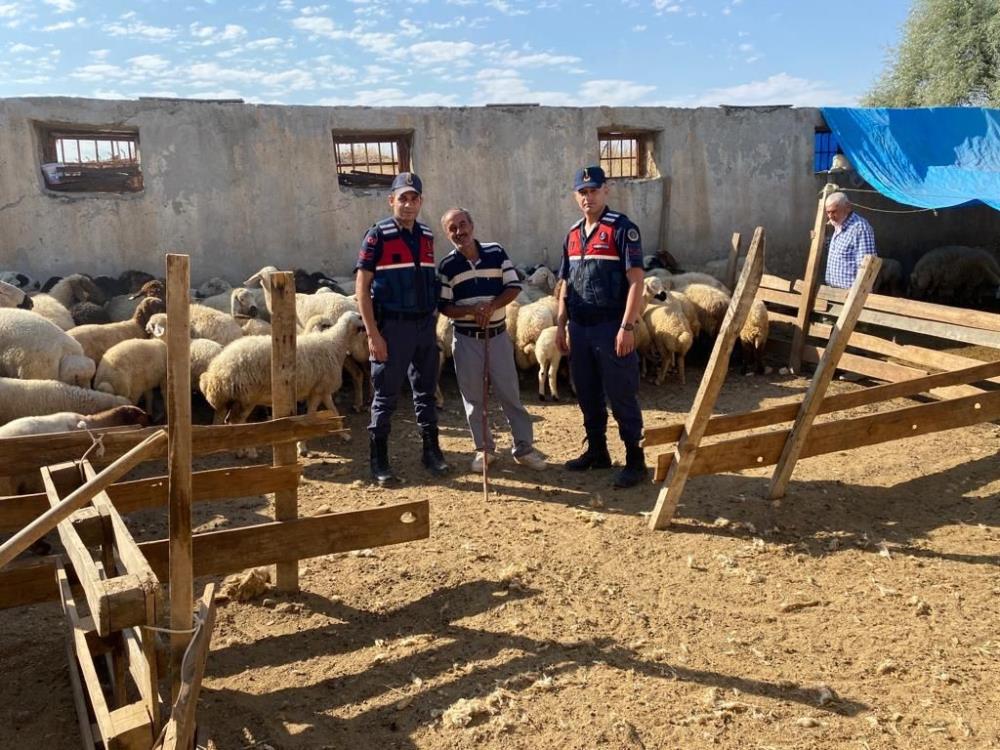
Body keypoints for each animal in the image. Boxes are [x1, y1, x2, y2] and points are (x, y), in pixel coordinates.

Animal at [198, 310, 364, 458]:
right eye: (360, 317)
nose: (366, 328)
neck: (335, 343)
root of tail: (217, 369)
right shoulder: (317, 391)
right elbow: (310, 418)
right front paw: (302, 447)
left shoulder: (322, 390)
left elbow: (335, 411)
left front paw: (344, 434)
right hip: (247, 397)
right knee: (236, 422)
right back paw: (246, 451)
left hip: (236, 399)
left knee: (229, 421)